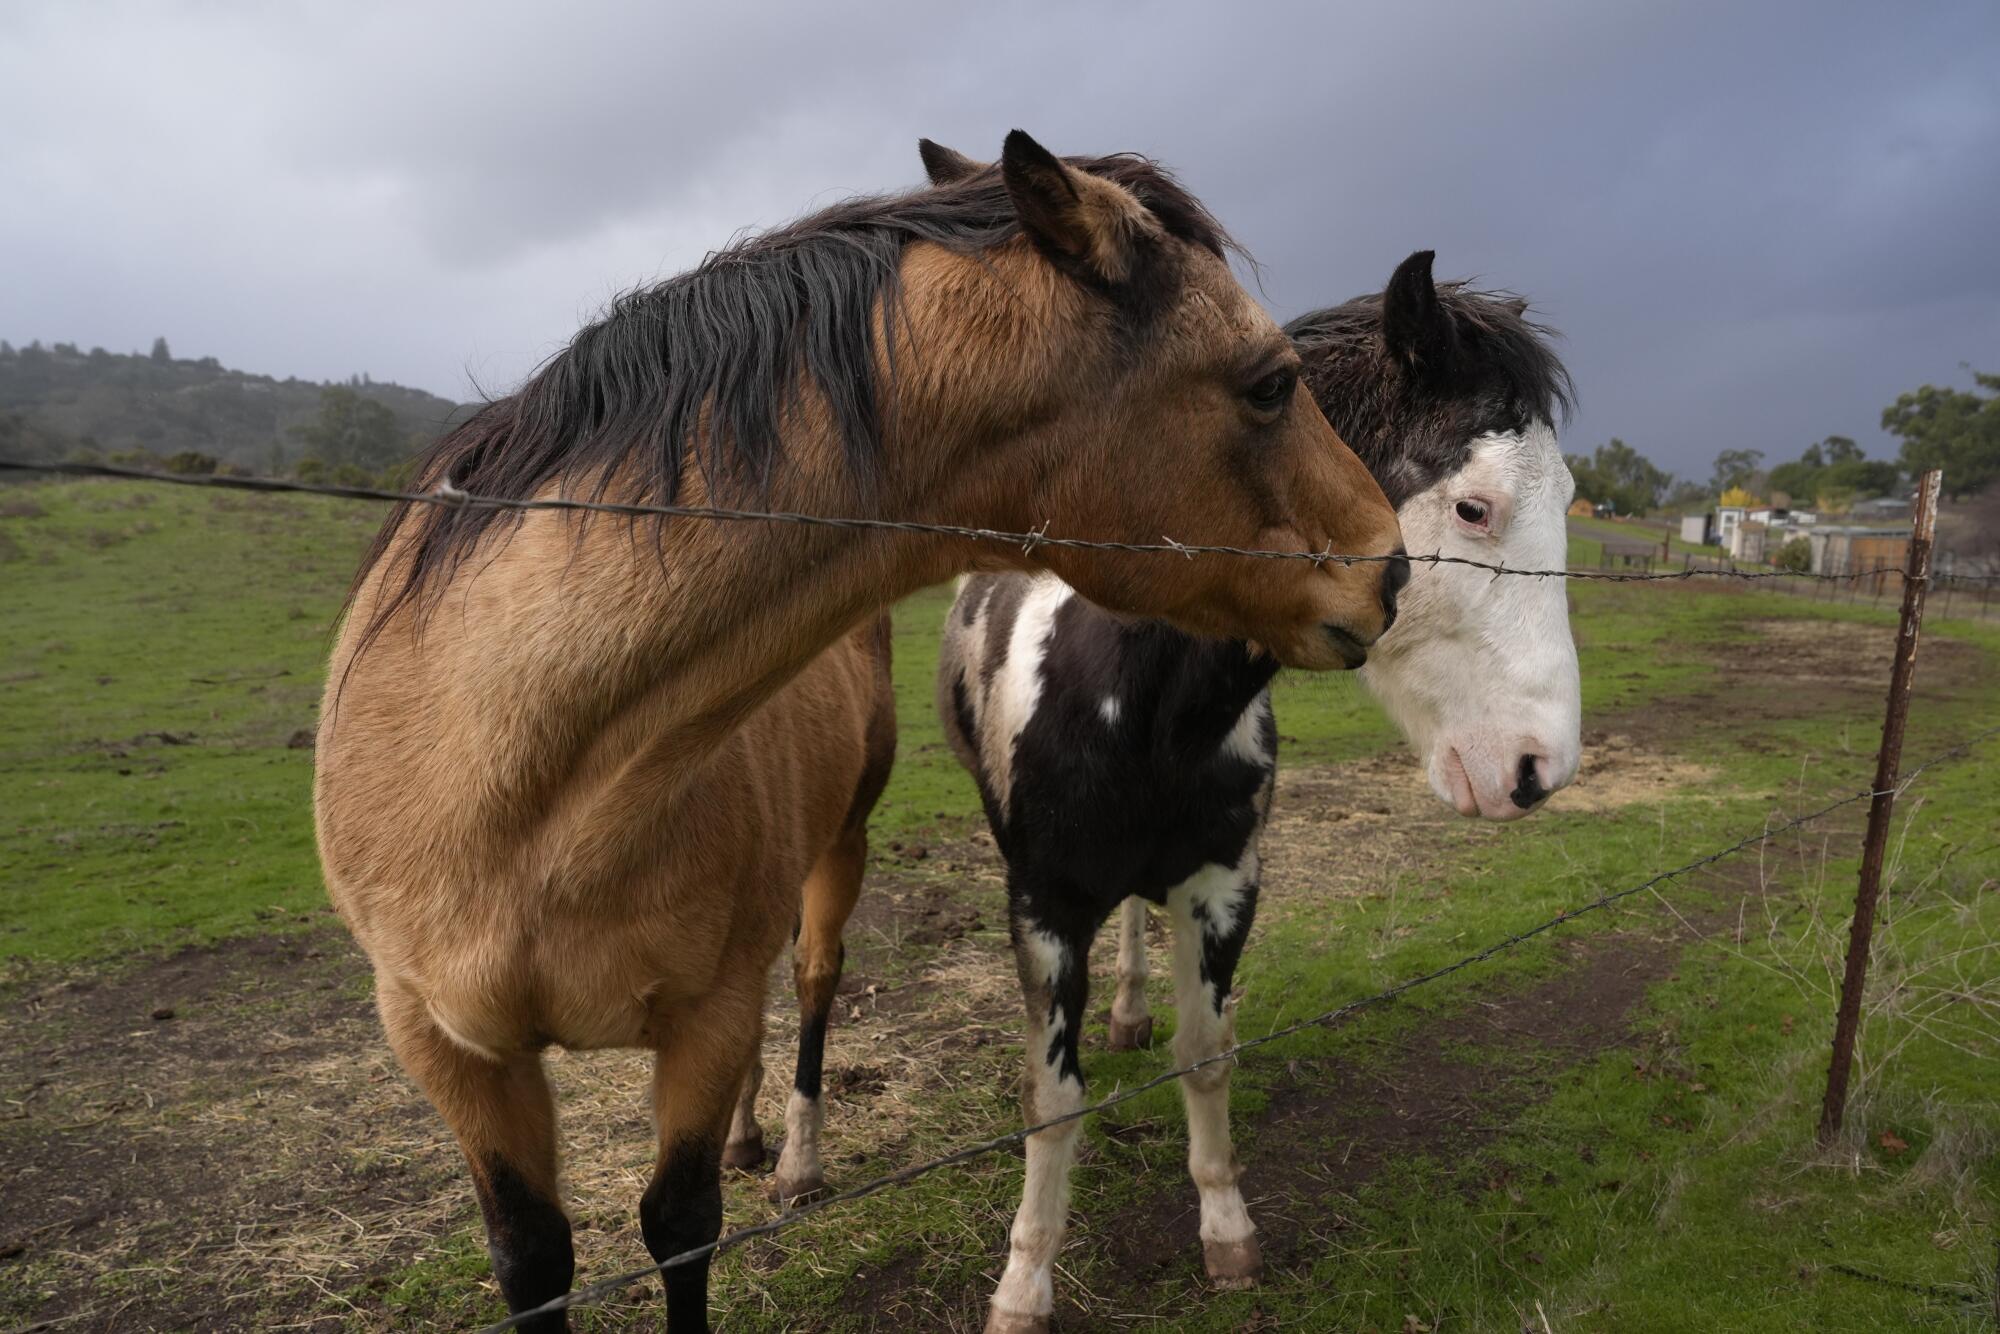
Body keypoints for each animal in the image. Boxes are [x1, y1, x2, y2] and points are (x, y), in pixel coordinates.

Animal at [936, 253, 1576, 1334]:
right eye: (1473, 508)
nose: (1540, 767)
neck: (1137, 697)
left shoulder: (1225, 888)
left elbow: (1206, 1054)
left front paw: (1226, 1232)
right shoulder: (1043, 907)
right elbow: (1051, 1101)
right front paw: (1023, 1283)